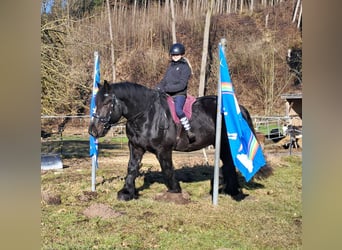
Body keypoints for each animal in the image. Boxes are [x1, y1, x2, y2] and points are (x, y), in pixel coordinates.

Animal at [87, 80, 262, 201]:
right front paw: (127, 192)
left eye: (107, 103)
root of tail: (239, 108)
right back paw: (229, 190)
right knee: (228, 165)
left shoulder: (163, 150)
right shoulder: (135, 147)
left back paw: (232, 191)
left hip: (225, 144)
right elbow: (132, 168)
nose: (93, 130)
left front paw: (174, 190)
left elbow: (167, 168)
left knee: (229, 165)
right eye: (96, 102)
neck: (147, 115)